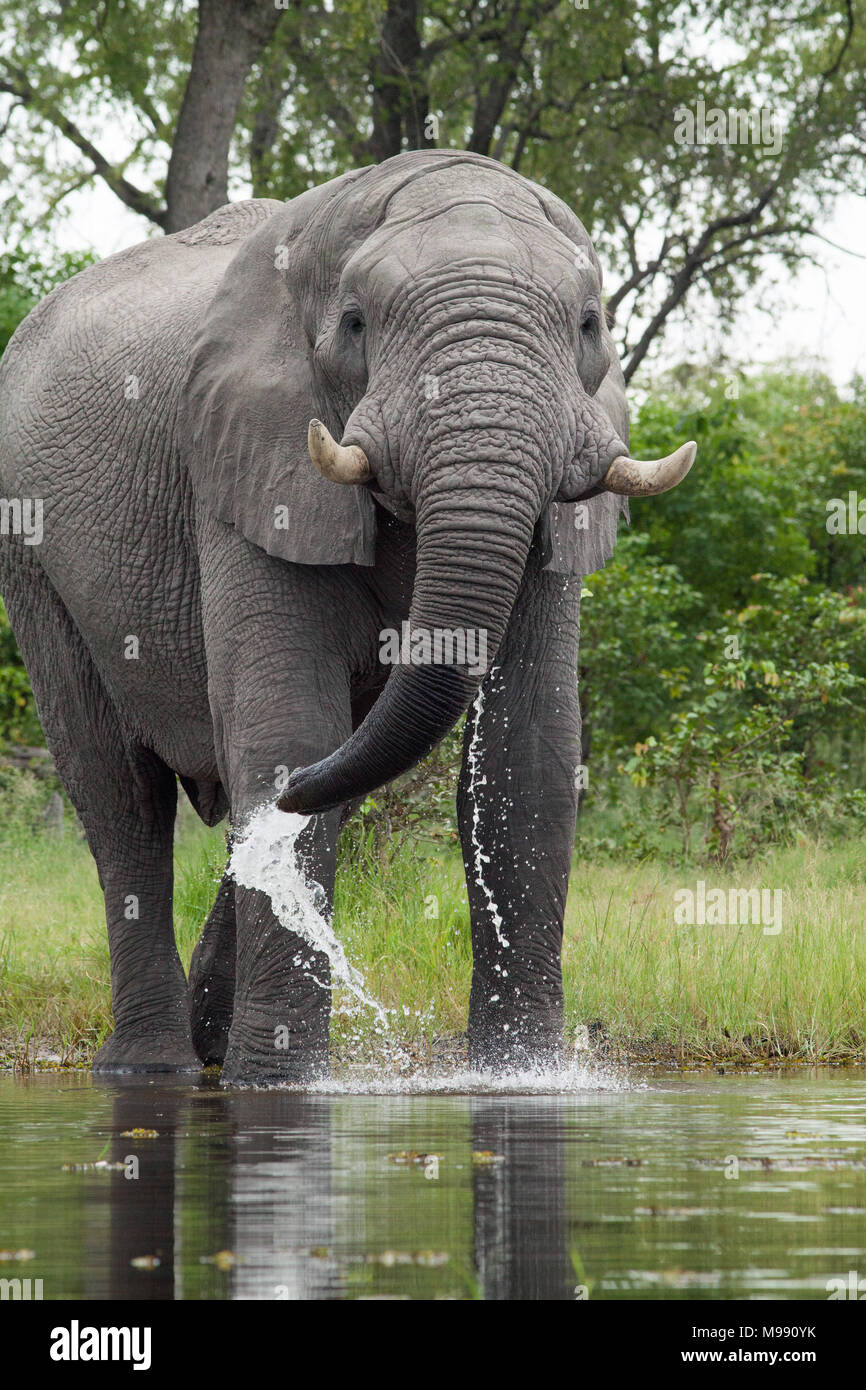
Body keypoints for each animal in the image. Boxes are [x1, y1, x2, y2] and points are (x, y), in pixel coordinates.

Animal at [0, 152, 695, 1084]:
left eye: (589, 325)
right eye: (357, 323)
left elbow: (532, 751)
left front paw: (521, 1077)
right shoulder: (245, 455)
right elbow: (286, 725)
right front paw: (277, 1083)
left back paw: (206, 1036)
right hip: (30, 553)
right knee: (122, 795)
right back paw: (153, 1068)